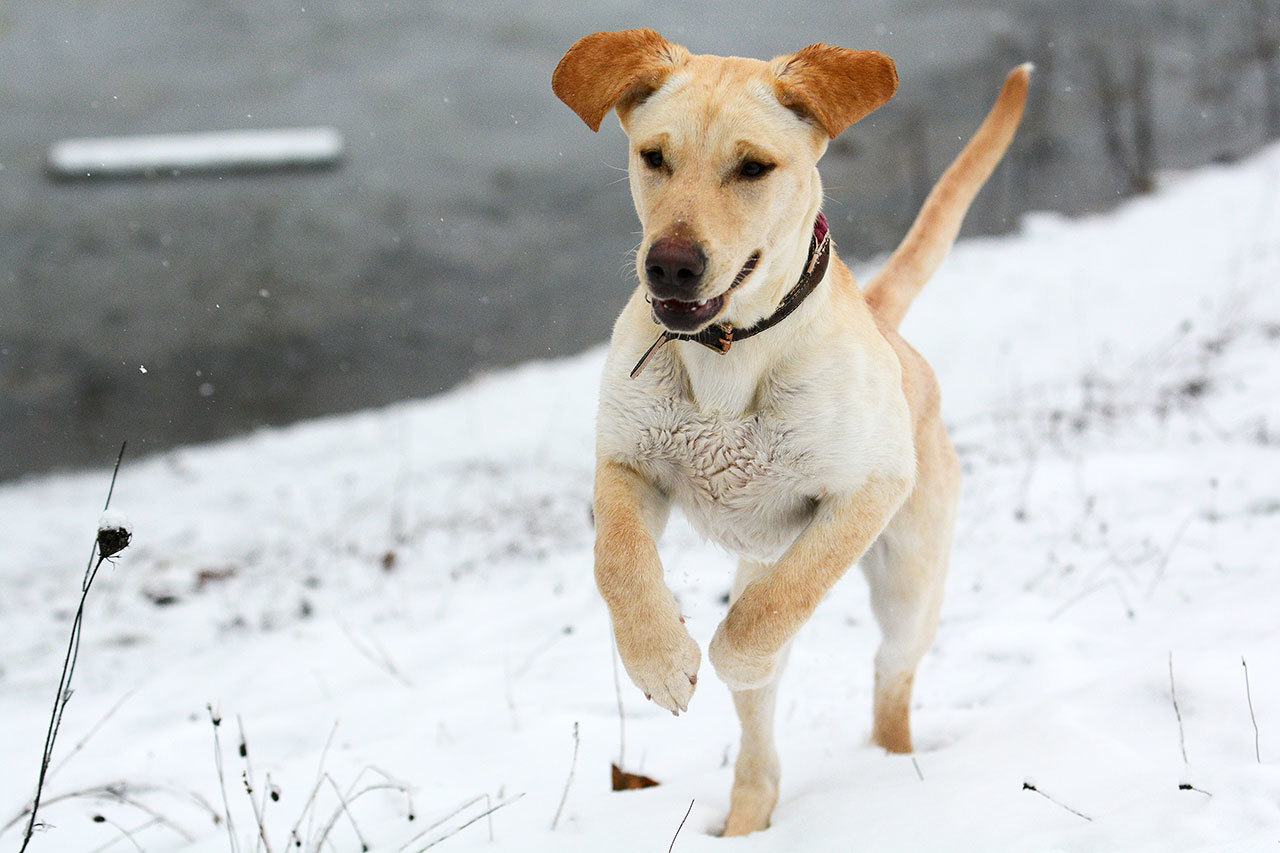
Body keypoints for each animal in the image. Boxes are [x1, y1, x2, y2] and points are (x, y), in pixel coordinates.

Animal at [552, 31, 1029, 829]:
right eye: (654, 156)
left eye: (752, 167)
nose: (670, 266)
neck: (727, 351)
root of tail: (885, 321)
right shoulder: (628, 463)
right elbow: (617, 562)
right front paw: (662, 662)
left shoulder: (871, 488)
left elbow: (778, 603)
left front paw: (730, 656)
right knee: (761, 749)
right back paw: (746, 820)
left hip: (910, 579)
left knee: (888, 674)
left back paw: (894, 768)